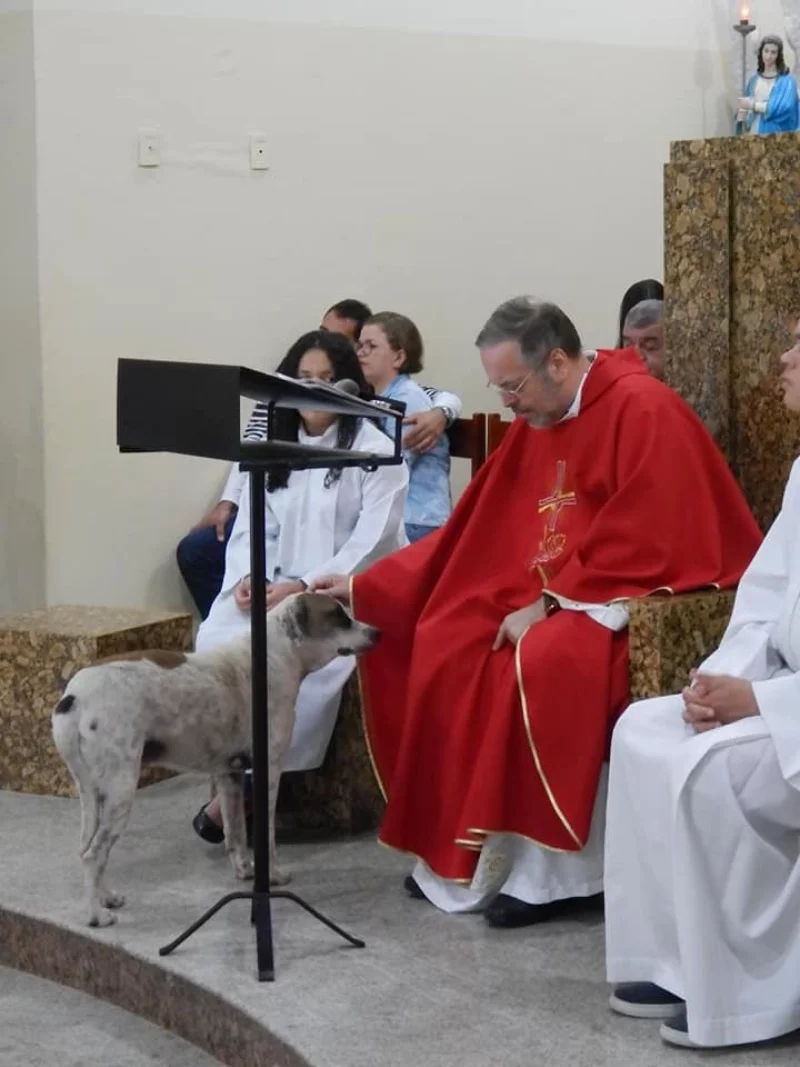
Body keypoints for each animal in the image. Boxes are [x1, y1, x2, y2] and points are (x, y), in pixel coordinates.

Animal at [51, 588, 379, 930]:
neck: (275, 656)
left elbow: (235, 832)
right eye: (338, 616)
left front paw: (245, 872)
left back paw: (107, 898)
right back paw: (96, 915)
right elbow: (266, 836)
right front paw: (272, 877)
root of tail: (74, 697)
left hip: (98, 794)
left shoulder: (229, 774)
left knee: (93, 851)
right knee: (93, 854)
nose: (376, 632)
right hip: (120, 790)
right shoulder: (269, 771)